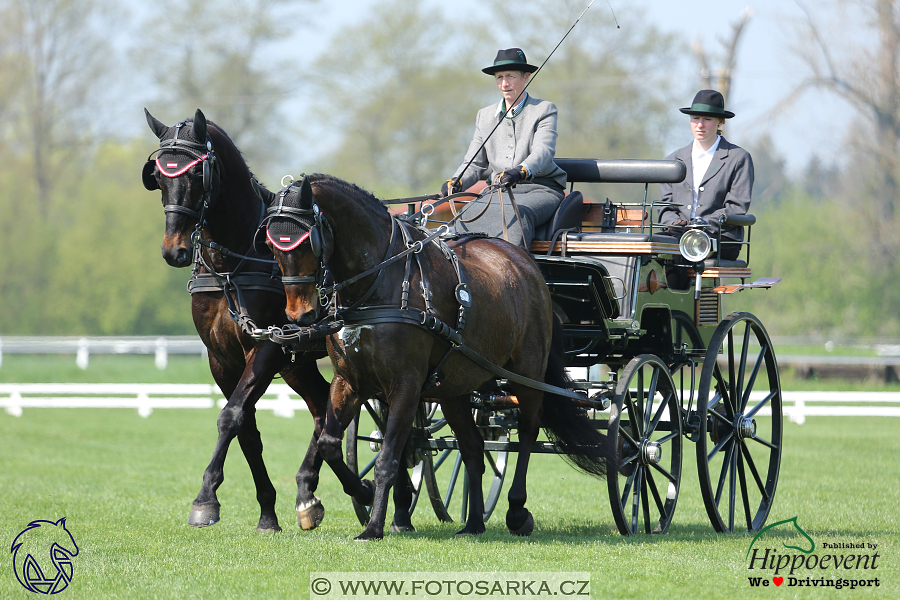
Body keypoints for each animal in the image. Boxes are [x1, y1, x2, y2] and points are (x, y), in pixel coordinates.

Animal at [141, 110, 342, 532]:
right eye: (159, 178)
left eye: (197, 176)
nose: (174, 251)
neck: (232, 266)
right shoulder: (222, 357)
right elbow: (246, 429)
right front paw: (267, 512)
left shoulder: (266, 347)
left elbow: (231, 416)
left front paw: (205, 498)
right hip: (297, 362)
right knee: (322, 408)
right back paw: (307, 492)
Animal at [256, 173, 616, 540]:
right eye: (271, 245)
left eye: (307, 242)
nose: (299, 315)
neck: (379, 282)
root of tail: (529, 267)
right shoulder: (350, 380)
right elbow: (330, 443)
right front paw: (360, 494)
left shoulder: (406, 385)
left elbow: (387, 458)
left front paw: (373, 526)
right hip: (454, 389)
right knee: (472, 446)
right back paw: (473, 523)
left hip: (528, 374)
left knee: (529, 431)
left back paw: (517, 511)